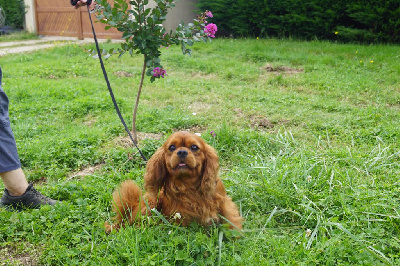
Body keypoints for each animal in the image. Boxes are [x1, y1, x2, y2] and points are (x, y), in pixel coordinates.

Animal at [106, 131, 242, 233]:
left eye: (194, 147)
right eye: (172, 147)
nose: (181, 151)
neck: (189, 184)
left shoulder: (224, 201)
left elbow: (230, 217)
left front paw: (236, 235)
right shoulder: (181, 216)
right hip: (151, 201)